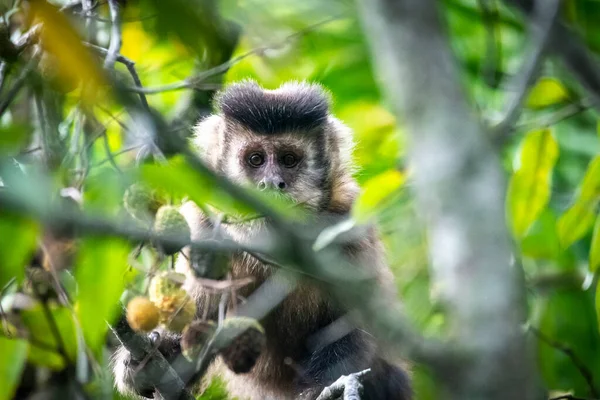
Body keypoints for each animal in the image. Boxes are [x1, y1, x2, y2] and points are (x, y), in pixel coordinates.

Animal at [111, 79, 412, 398]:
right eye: (255, 159)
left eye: (289, 160)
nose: (272, 183)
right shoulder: (204, 227)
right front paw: (150, 361)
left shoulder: (346, 225)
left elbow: (353, 326)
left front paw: (318, 390)